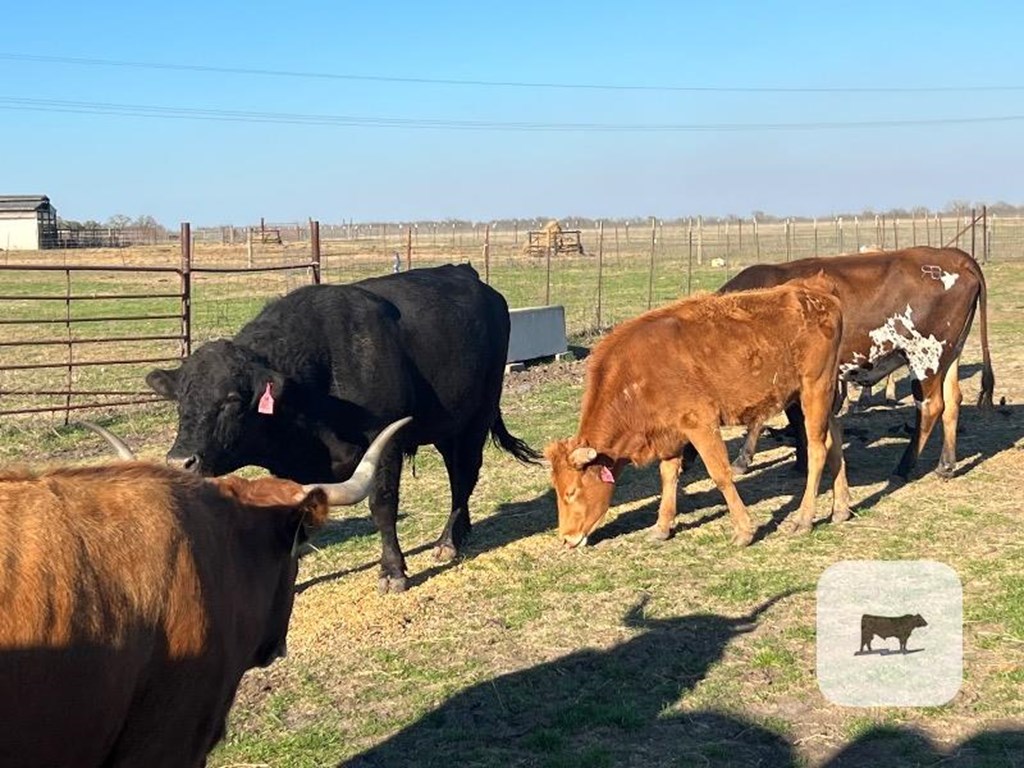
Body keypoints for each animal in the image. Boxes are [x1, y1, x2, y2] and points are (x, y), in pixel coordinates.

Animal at [149, 264, 544, 593]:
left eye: (231, 400)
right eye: (180, 399)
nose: (180, 461)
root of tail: (470, 275)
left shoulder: (385, 441)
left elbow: (382, 505)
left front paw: (392, 571)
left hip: (478, 415)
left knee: (464, 475)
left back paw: (448, 541)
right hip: (448, 425)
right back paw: (460, 531)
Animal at [548, 280, 851, 548]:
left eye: (571, 492)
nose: (566, 538)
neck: (637, 376)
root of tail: (818, 295)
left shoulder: (700, 424)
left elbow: (720, 475)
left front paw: (744, 531)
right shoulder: (670, 433)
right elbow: (668, 476)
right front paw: (662, 527)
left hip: (814, 387)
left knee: (817, 448)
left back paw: (803, 519)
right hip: (820, 392)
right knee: (834, 438)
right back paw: (840, 508)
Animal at [712, 246, 991, 479]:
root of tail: (952, 256)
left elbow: (780, 420)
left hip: (924, 356)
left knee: (931, 406)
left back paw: (904, 466)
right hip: (949, 353)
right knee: (952, 402)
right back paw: (945, 465)